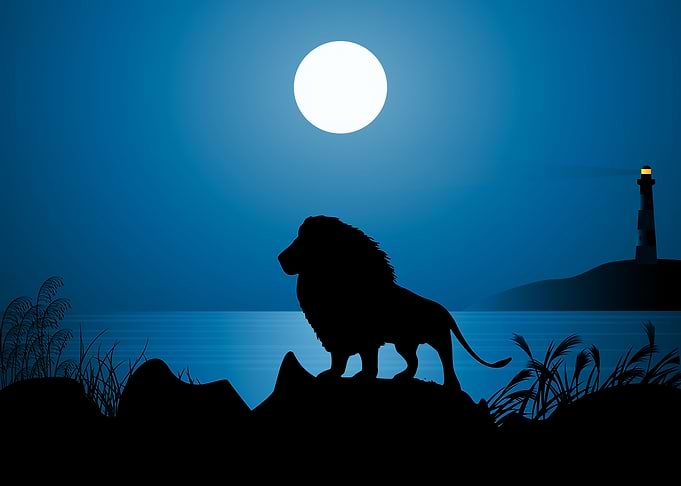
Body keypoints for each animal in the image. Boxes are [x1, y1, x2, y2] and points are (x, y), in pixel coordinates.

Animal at [278, 215, 511, 390]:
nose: (280, 258)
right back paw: (402, 377)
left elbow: (368, 361)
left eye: (303, 242)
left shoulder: (365, 337)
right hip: (404, 343)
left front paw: (363, 377)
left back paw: (451, 386)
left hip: (438, 337)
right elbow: (339, 359)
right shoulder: (335, 335)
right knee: (414, 361)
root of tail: (445, 311)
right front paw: (331, 374)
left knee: (446, 359)